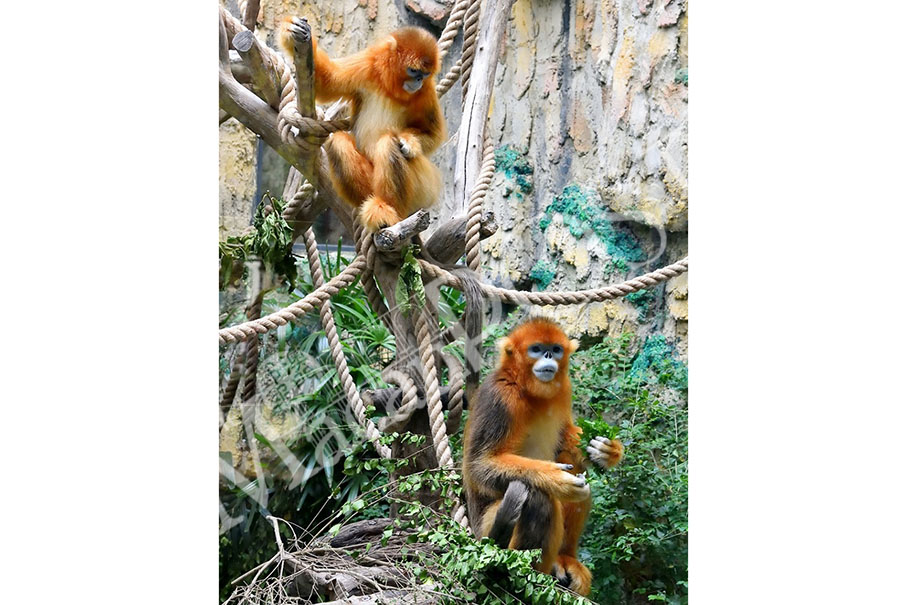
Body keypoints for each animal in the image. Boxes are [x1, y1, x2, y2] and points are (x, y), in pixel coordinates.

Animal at [280, 18, 445, 231]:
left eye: (425, 74)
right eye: (414, 71)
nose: (418, 80)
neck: (390, 88)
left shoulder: (426, 90)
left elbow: (434, 134)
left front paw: (410, 142)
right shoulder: (367, 66)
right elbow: (326, 82)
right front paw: (290, 31)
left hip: (424, 186)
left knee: (388, 144)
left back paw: (388, 210)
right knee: (339, 143)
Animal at [462, 318, 624, 596]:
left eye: (555, 350)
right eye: (536, 349)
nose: (548, 356)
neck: (528, 390)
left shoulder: (564, 389)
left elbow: (565, 440)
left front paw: (607, 451)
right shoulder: (500, 396)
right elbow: (480, 465)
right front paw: (555, 479)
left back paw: (564, 559)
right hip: (485, 532)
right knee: (538, 498)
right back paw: (517, 576)